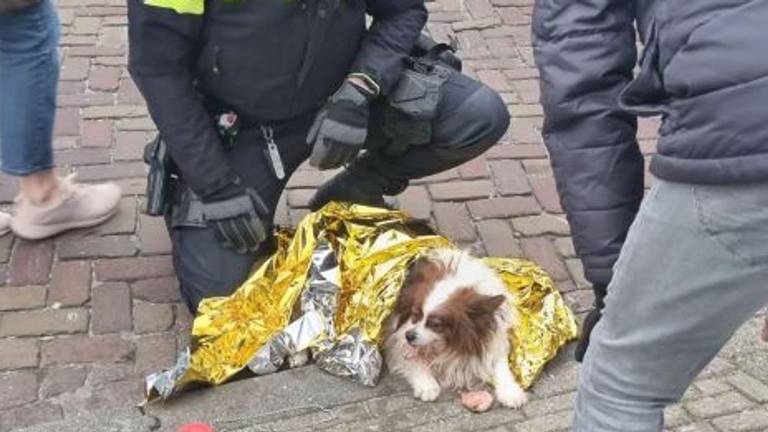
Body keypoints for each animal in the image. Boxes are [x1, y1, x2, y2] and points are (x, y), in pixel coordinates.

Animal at [384, 250, 528, 408]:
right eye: (415, 314)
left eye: (435, 324)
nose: (409, 336)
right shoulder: (396, 337)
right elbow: (412, 359)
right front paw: (427, 385)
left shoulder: (493, 339)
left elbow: (500, 365)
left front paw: (510, 392)